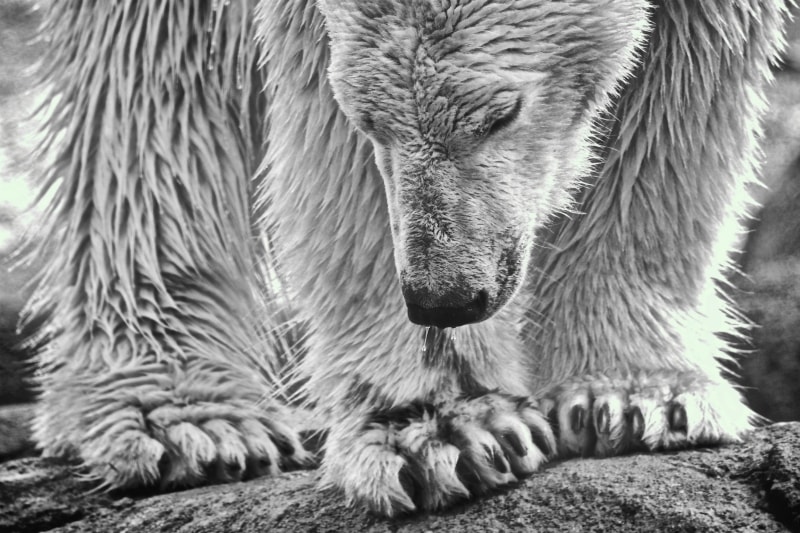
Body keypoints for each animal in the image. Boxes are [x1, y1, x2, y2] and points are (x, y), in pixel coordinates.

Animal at [25, 0, 788, 517]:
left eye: (501, 112)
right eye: (368, 118)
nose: (443, 297)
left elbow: (677, 97)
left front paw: (634, 401)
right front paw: (443, 430)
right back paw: (188, 421)